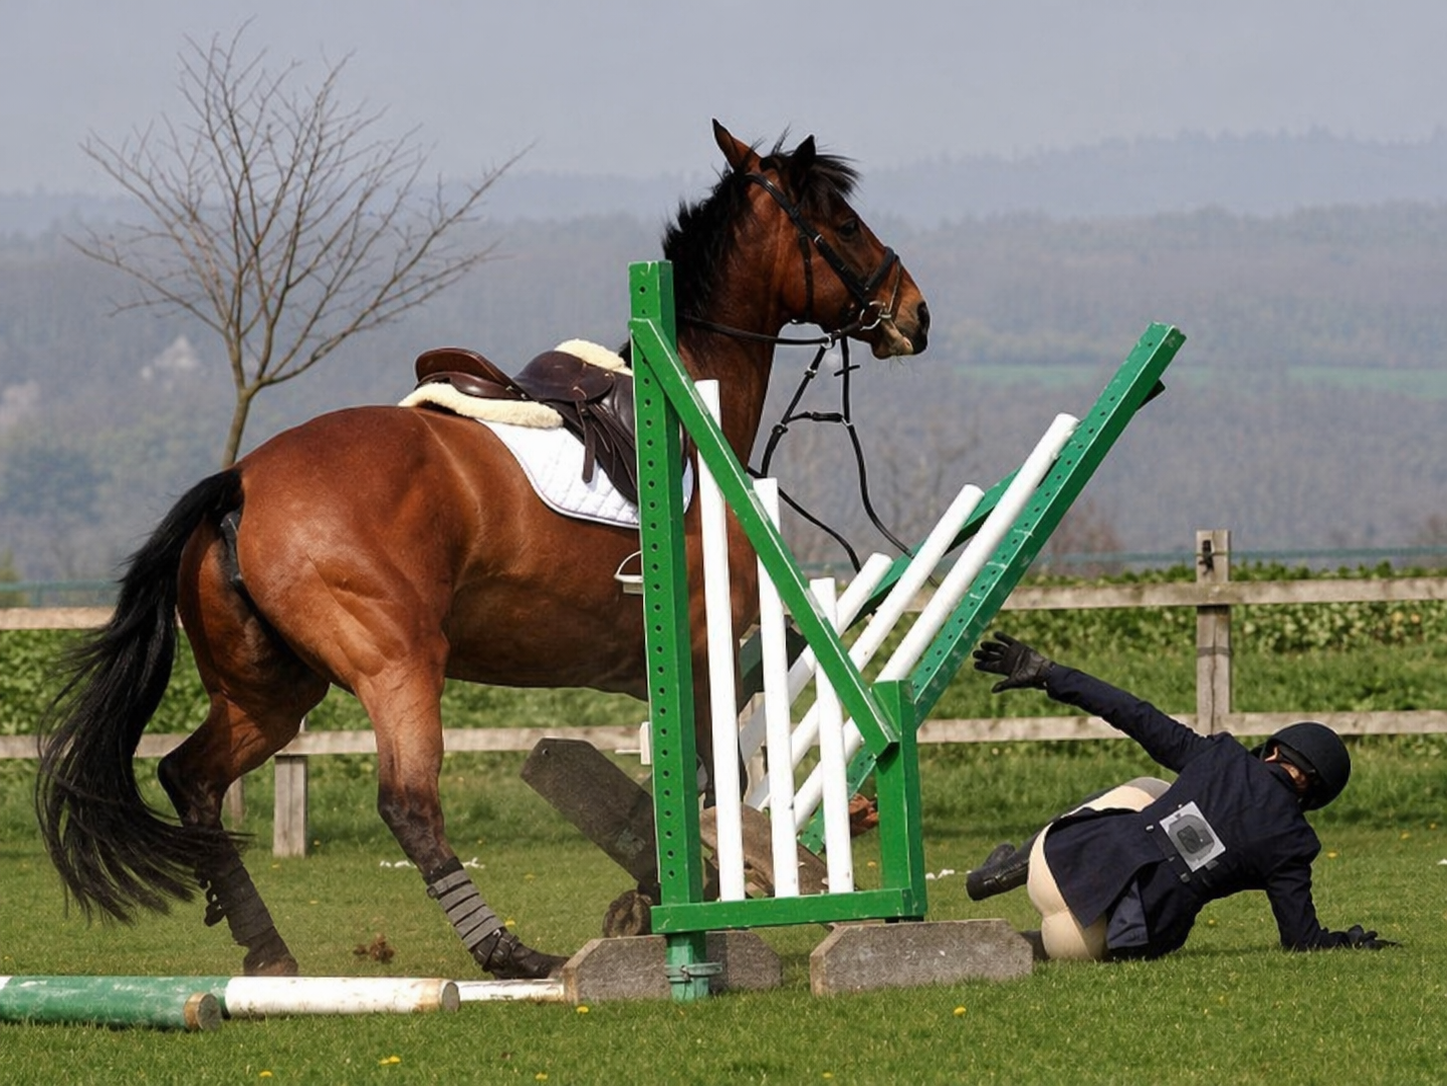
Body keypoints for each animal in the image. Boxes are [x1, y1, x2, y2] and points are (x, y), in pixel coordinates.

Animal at [35, 120, 930, 980]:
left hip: (272, 690)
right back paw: (506, 953)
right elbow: (713, 787)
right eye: (844, 225)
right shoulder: (705, 649)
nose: (915, 314)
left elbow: (678, 793)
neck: (690, 404)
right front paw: (689, 909)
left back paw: (267, 952)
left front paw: (652, 901)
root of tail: (241, 479)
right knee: (408, 803)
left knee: (192, 779)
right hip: (398, 660)